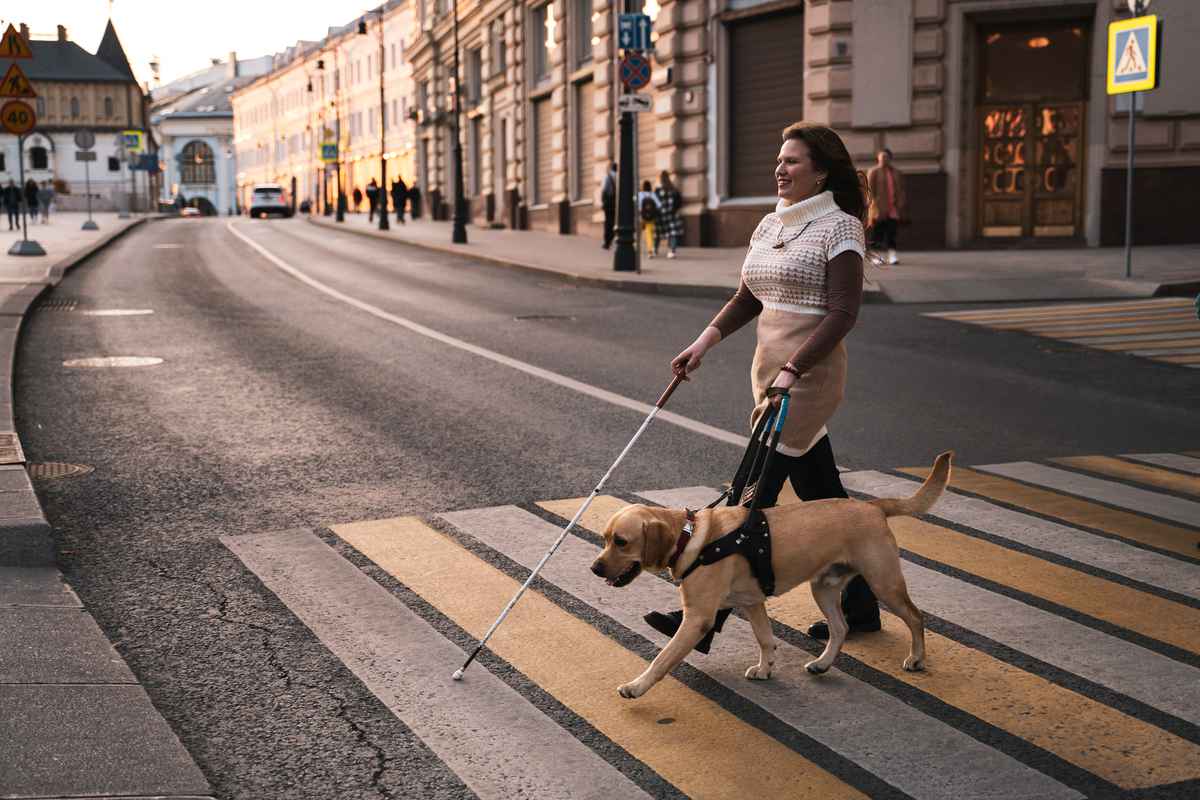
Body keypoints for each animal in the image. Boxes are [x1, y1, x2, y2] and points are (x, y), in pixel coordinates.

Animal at [592, 453, 955, 695]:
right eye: (605, 538)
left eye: (621, 541)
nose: (594, 568)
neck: (690, 536)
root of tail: (873, 506)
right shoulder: (752, 603)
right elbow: (766, 639)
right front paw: (766, 669)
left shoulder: (698, 618)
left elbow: (662, 658)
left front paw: (637, 686)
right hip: (824, 587)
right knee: (840, 627)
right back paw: (822, 663)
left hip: (884, 582)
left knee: (915, 617)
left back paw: (916, 658)